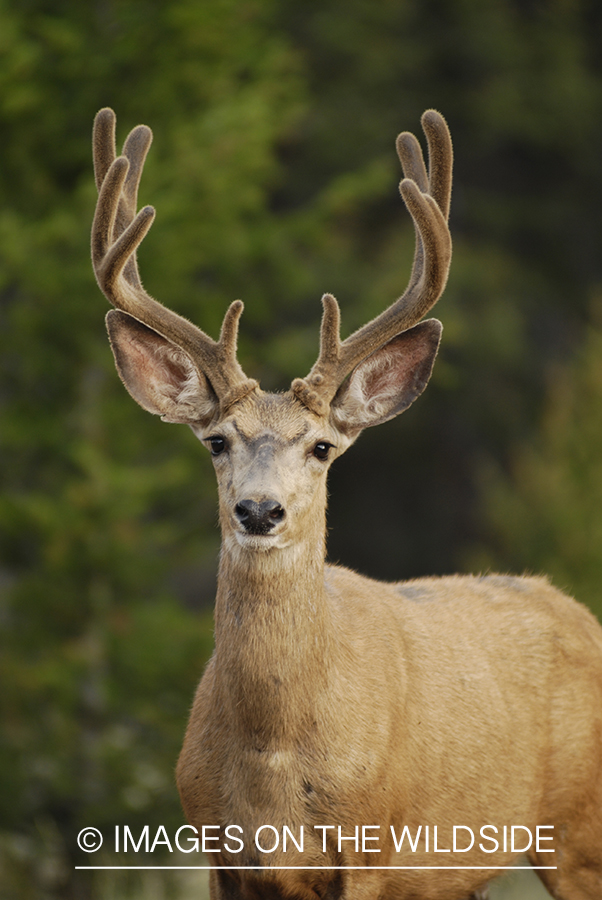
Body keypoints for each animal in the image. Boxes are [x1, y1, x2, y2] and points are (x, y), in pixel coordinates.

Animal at [91, 106, 602, 900]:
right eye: (216, 441)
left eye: (322, 447)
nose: (260, 510)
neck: (272, 756)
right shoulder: (215, 852)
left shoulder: (369, 849)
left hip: (580, 830)